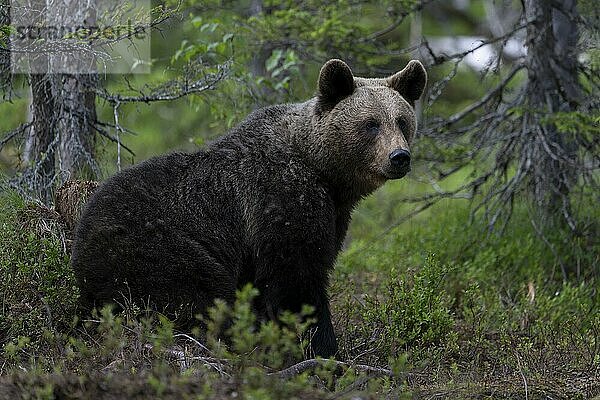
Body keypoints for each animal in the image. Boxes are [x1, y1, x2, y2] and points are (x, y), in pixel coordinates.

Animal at [71, 58, 426, 356]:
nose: (399, 157)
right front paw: (322, 349)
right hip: (154, 249)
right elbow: (297, 281)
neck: (325, 174)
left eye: (401, 121)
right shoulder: (280, 201)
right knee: (201, 297)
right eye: (371, 123)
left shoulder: (332, 215)